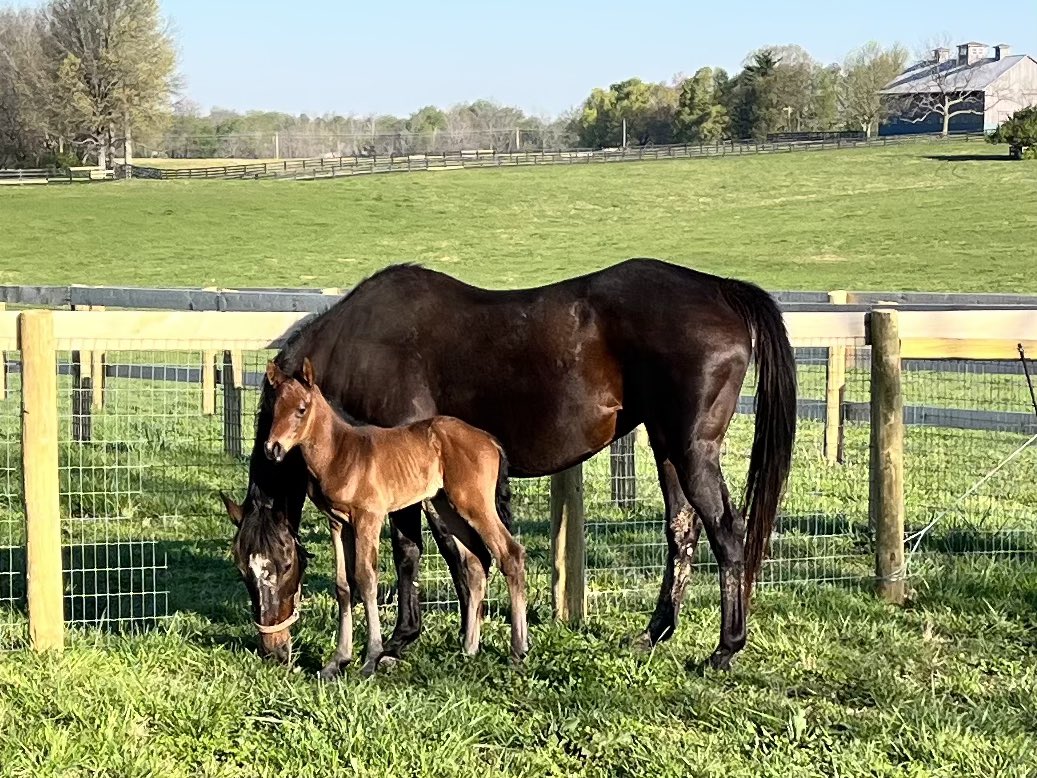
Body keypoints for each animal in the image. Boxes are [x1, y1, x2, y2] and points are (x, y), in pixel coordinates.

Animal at [261, 357, 527, 677]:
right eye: (274, 408)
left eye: (301, 409)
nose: (272, 448)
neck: (340, 452)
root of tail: (490, 440)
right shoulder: (337, 522)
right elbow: (343, 585)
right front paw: (337, 661)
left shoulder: (369, 517)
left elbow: (366, 579)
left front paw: (370, 658)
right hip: (447, 505)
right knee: (475, 563)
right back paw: (468, 649)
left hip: (475, 503)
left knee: (510, 553)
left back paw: (518, 650)